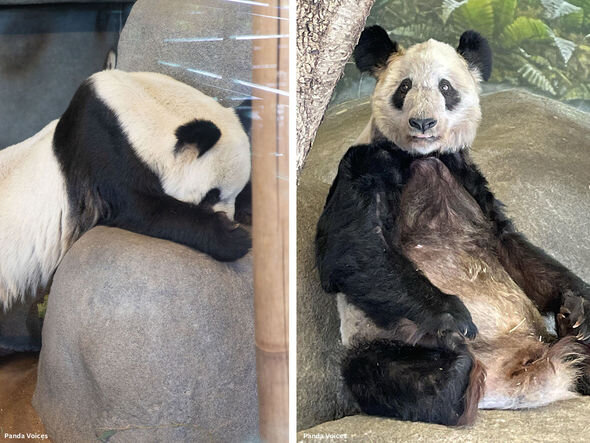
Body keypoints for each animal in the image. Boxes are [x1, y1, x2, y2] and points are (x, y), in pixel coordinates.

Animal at [0, 69, 252, 312]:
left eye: (236, 193)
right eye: (212, 194)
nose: (227, 216)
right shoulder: (105, 151)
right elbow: (142, 209)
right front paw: (233, 237)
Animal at [316, 26, 590, 428]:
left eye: (446, 88)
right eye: (404, 87)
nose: (422, 123)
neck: (423, 156)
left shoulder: (466, 174)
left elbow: (511, 245)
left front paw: (576, 305)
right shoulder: (366, 162)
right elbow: (352, 247)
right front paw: (456, 320)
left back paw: (572, 336)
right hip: (387, 337)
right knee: (381, 372)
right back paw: (457, 371)